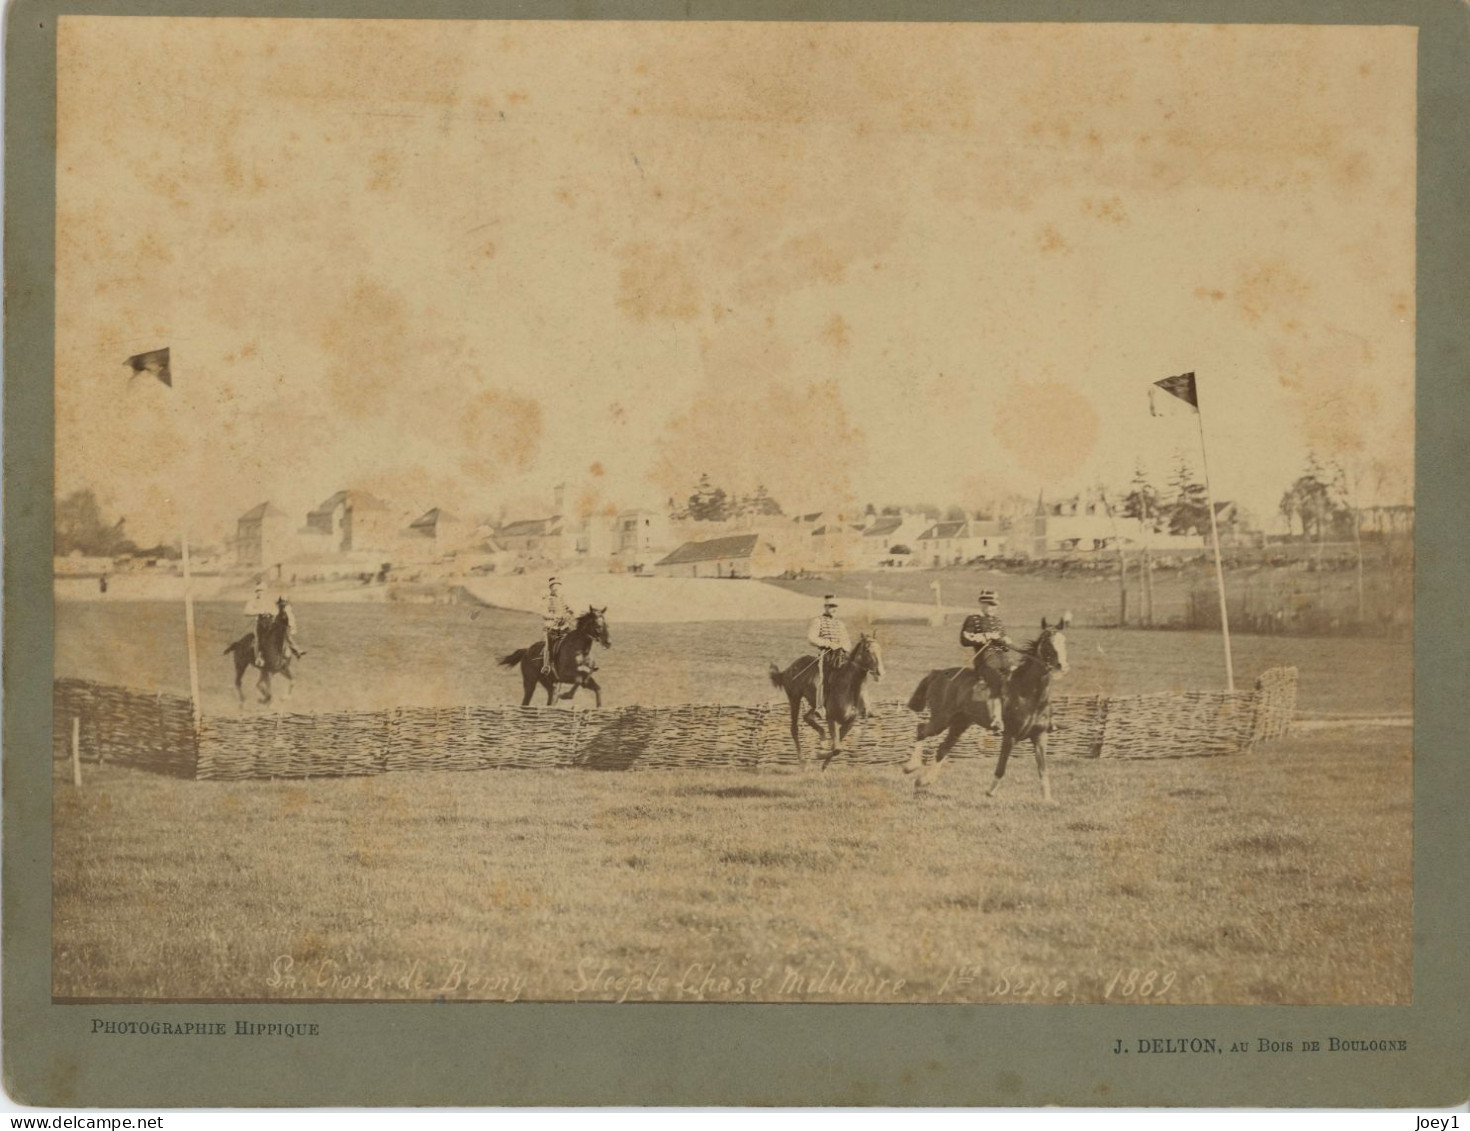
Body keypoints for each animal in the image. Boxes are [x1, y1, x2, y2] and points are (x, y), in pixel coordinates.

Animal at [770, 629, 882, 770]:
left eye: (879, 649)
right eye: (867, 650)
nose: (879, 671)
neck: (848, 687)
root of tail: (787, 670)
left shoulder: (848, 723)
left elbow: (836, 747)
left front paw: (823, 765)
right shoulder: (832, 719)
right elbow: (837, 748)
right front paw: (818, 755)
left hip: (813, 703)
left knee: (807, 717)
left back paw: (822, 738)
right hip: (794, 698)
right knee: (794, 729)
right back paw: (802, 762)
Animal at [893, 611, 1070, 800]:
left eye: (1064, 641)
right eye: (1047, 643)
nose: (1062, 665)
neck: (1028, 693)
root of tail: (938, 673)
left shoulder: (1040, 736)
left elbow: (1043, 769)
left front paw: (1048, 800)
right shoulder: (1010, 735)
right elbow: (1001, 767)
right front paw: (990, 792)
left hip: (960, 723)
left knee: (942, 748)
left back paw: (924, 780)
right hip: (941, 719)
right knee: (921, 730)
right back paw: (910, 766)